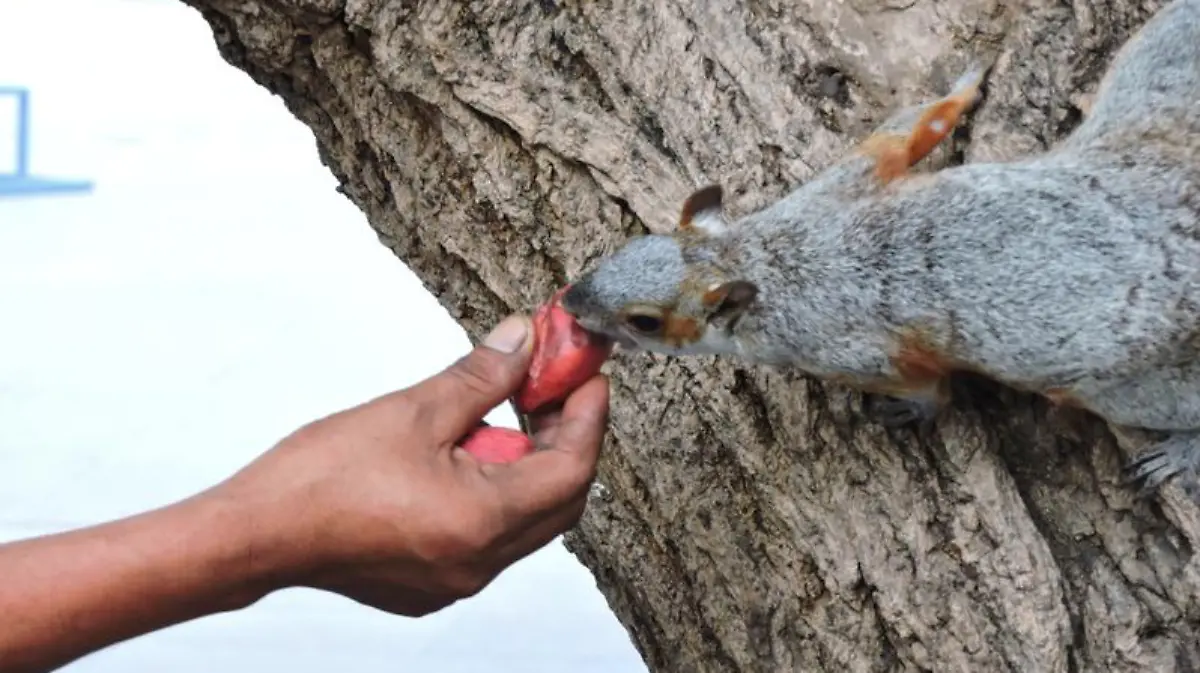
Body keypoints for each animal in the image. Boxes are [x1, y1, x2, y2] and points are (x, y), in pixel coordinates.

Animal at [559, 0, 1200, 494]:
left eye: (645, 321)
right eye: (634, 244)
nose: (570, 302)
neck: (763, 256)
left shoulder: (844, 351)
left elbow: (924, 384)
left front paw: (916, 409)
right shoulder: (846, 182)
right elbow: (910, 130)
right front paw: (967, 82)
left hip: (1122, 382)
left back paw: (1180, 453)